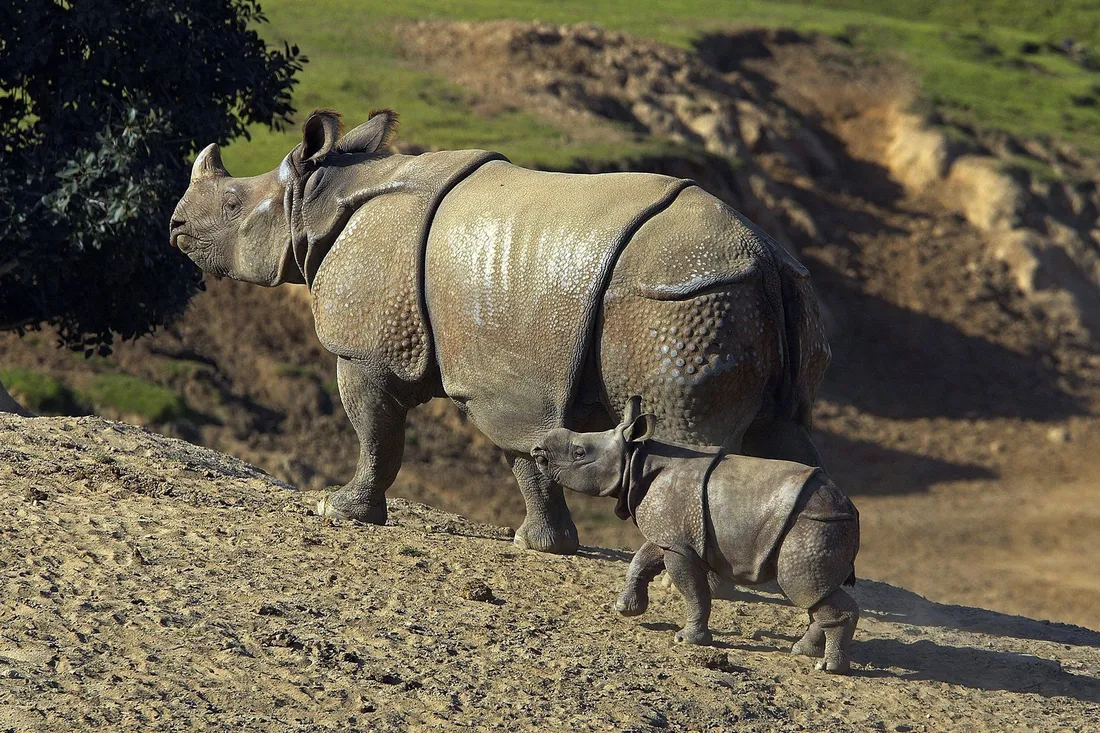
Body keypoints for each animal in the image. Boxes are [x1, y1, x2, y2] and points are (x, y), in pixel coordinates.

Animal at [169, 108, 831, 554]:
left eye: (232, 202)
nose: (175, 225)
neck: (317, 198)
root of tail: (763, 256)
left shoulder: (371, 349)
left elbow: (375, 429)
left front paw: (338, 509)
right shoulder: (509, 374)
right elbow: (529, 452)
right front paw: (541, 545)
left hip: (682, 300)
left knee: (687, 434)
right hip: (761, 295)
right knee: (785, 433)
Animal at [531, 397, 860, 673]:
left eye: (579, 453)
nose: (537, 452)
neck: (636, 460)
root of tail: (849, 510)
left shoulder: (680, 544)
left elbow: (692, 590)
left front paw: (687, 639)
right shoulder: (671, 532)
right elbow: (642, 560)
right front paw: (626, 609)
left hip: (813, 526)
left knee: (802, 586)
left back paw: (827, 667)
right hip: (819, 524)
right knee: (814, 594)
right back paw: (803, 652)